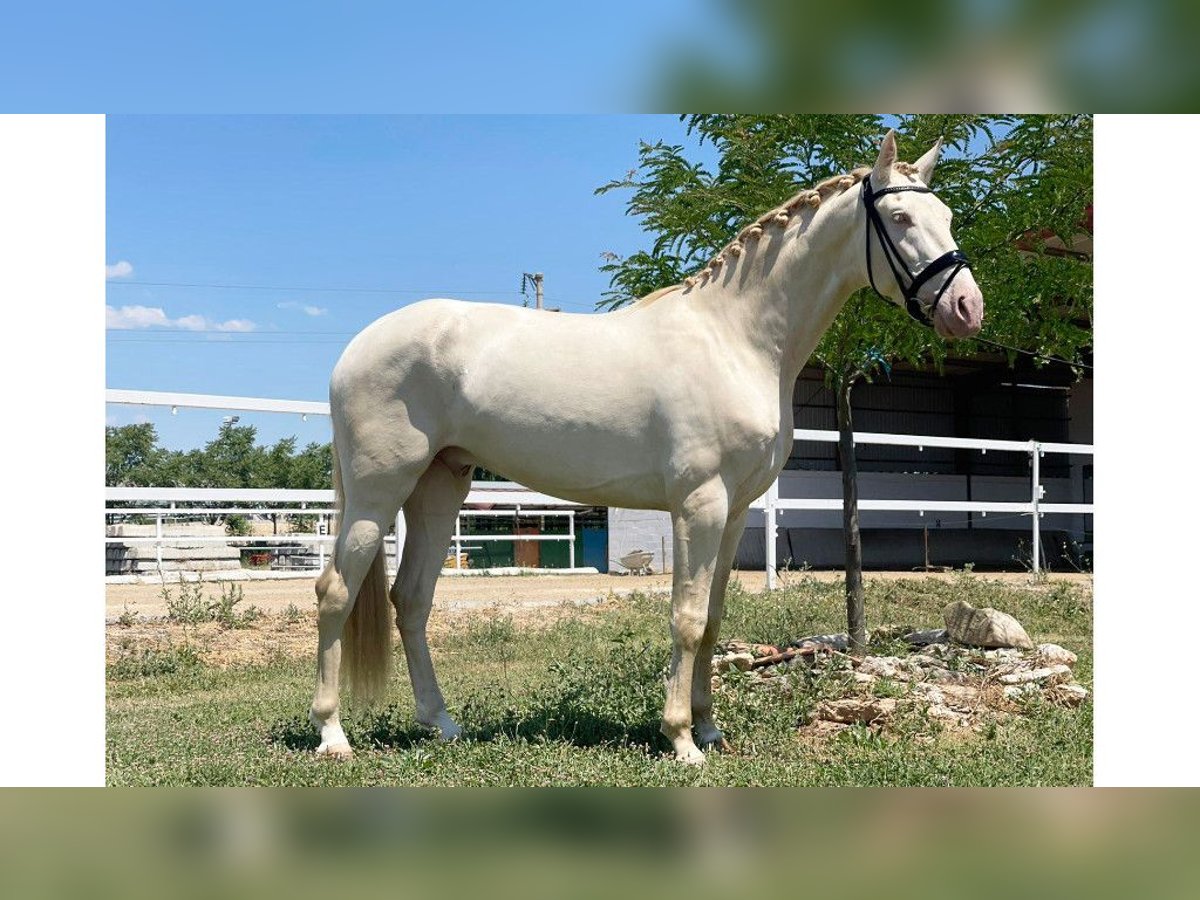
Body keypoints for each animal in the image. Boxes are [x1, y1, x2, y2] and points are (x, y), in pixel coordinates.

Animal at [309, 130, 984, 763]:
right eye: (901, 218)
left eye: (948, 216)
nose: (967, 307)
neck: (733, 337)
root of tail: (356, 348)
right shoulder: (699, 506)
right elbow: (686, 620)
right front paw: (680, 738)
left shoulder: (734, 512)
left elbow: (712, 619)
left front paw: (709, 728)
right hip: (377, 493)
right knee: (335, 592)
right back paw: (331, 734)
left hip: (438, 487)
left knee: (411, 600)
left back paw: (441, 723)